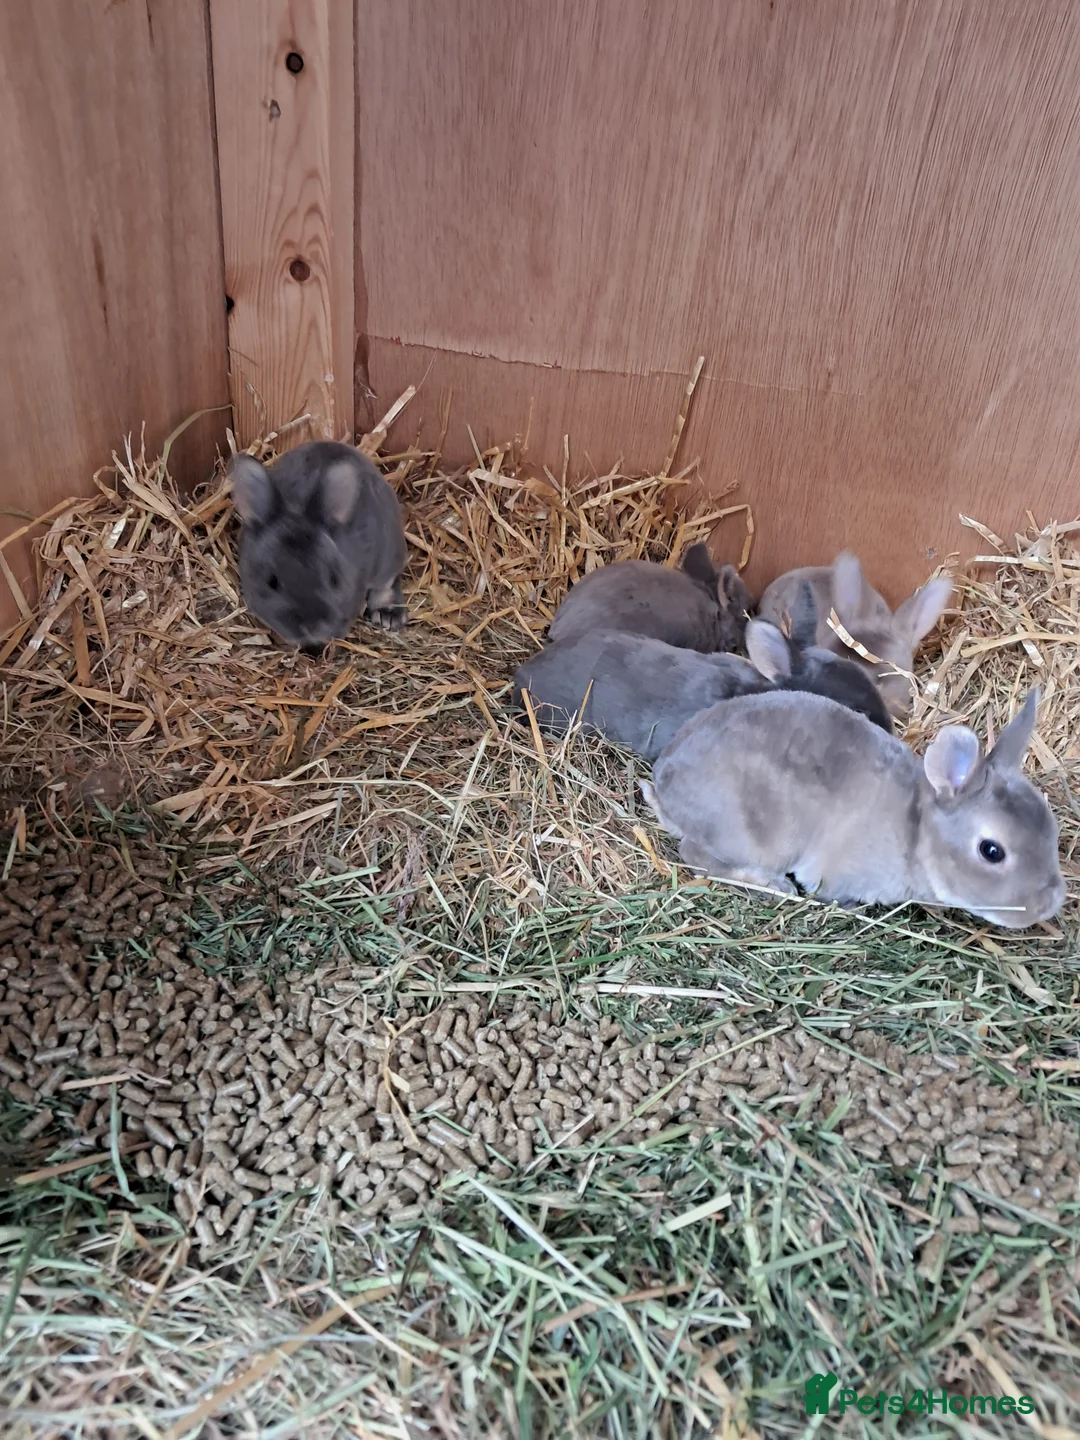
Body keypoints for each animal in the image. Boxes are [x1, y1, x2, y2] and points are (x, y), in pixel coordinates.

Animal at [641, 688, 1065, 930]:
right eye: (992, 851)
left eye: (1052, 828)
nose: (1049, 905)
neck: (916, 831)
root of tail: (663, 786)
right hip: (753, 837)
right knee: (696, 855)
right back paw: (773, 885)